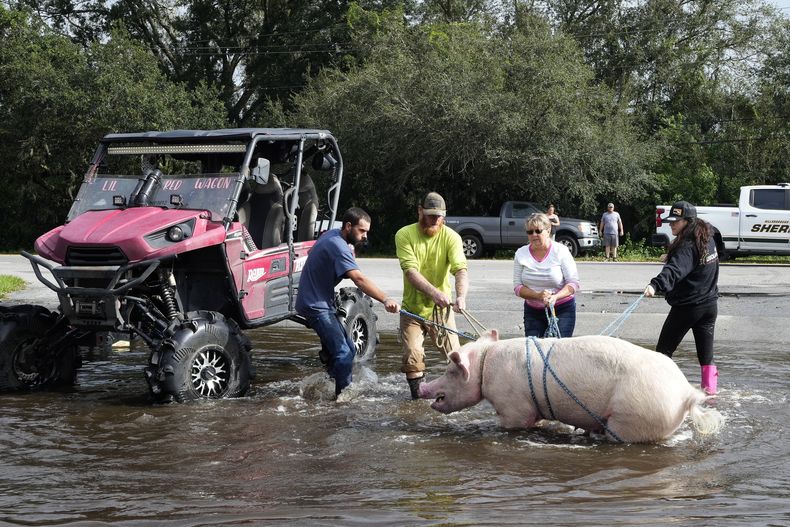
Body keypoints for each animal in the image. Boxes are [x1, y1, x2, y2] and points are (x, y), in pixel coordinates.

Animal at [419, 330, 723, 443]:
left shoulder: (514, 408)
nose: (422, 387)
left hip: (633, 417)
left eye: (450, 370)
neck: (485, 365)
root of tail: (685, 394)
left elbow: (514, 423)